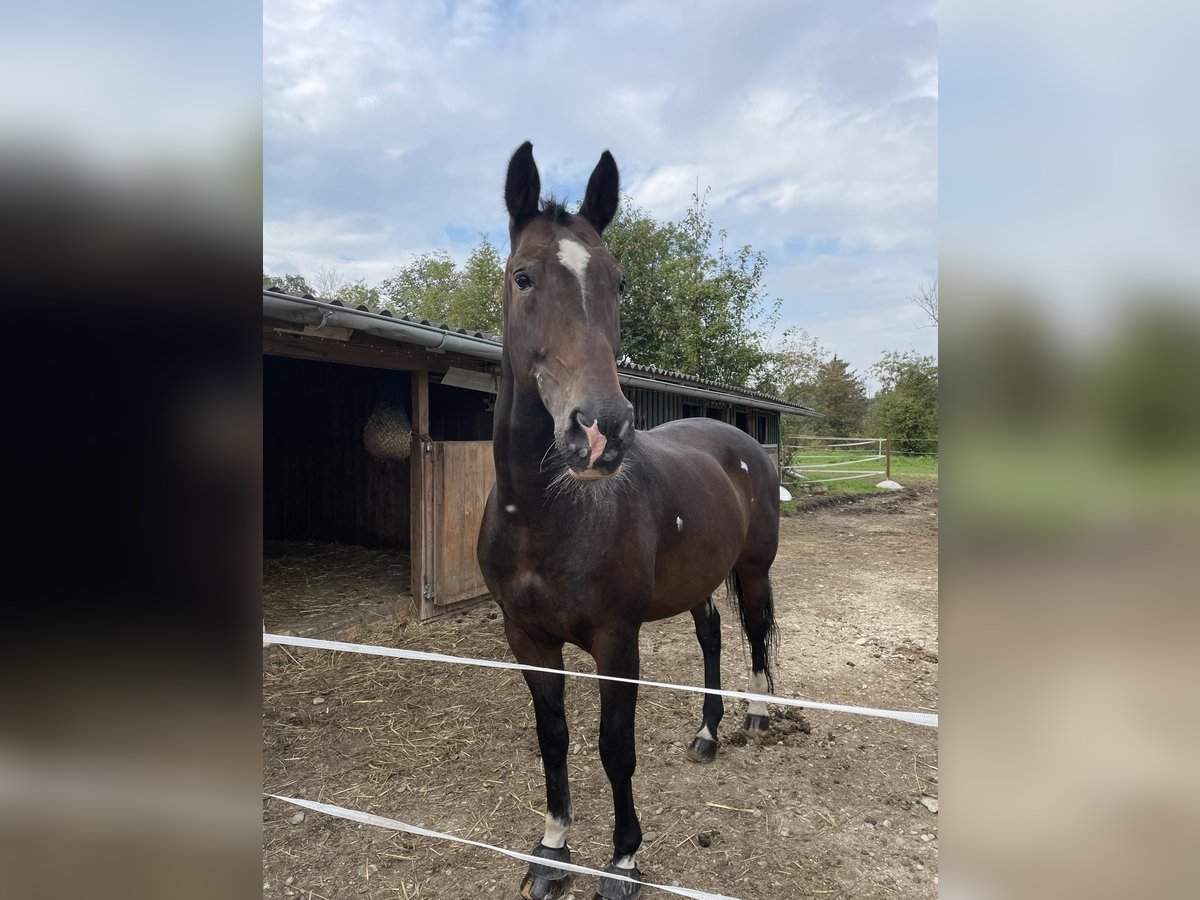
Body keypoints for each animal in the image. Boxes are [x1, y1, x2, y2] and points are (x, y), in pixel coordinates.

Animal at [482, 142, 782, 900]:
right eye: (523, 276)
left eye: (617, 283)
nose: (601, 431)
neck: (545, 518)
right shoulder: (527, 638)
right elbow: (553, 739)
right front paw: (552, 851)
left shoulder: (617, 642)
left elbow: (615, 748)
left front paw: (622, 862)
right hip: (701, 579)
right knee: (711, 636)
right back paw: (707, 733)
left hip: (753, 569)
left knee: (754, 633)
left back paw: (758, 713)